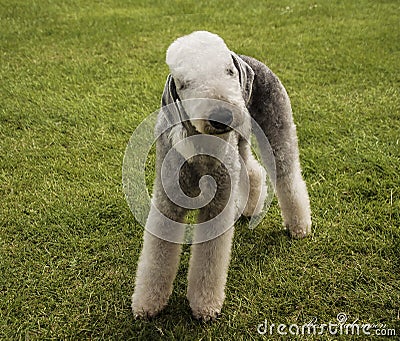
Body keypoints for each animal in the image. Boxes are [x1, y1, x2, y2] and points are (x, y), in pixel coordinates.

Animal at [132, 30, 312, 320]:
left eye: (228, 71)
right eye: (185, 83)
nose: (221, 116)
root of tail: (251, 59)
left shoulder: (216, 204)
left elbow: (209, 260)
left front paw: (205, 306)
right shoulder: (167, 202)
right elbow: (157, 256)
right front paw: (147, 304)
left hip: (277, 127)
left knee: (287, 176)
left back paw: (299, 226)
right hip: (240, 141)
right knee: (253, 170)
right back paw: (249, 207)